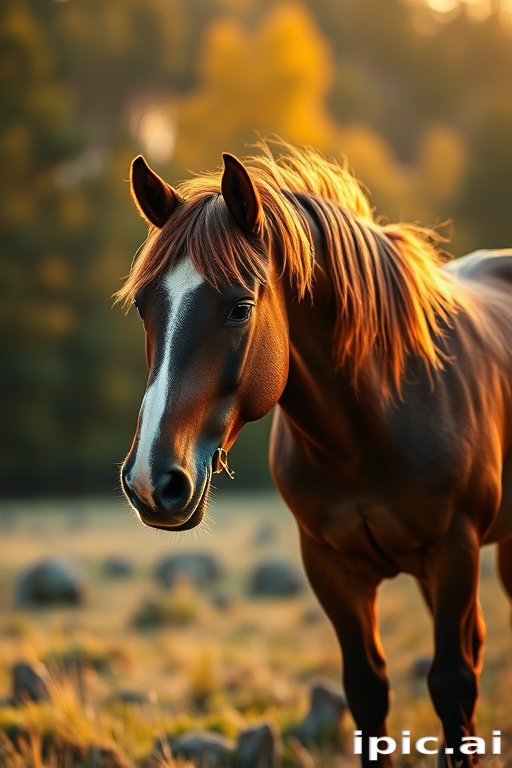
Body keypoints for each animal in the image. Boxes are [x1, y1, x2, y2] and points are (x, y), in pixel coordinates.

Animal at [117, 140, 512, 768]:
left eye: (239, 308)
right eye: (143, 307)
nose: (153, 482)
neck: (371, 426)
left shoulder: (455, 549)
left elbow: (453, 687)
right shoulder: (331, 566)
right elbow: (368, 691)